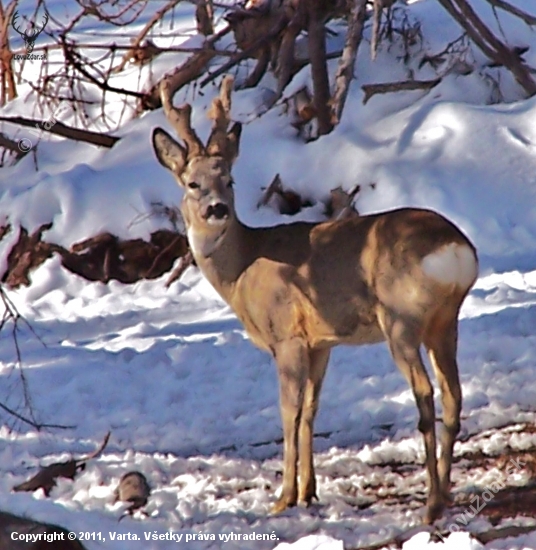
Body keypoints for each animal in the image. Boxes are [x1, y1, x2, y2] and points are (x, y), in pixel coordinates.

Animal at [151, 75, 478, 524]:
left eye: (229, 181)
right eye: (192, 183)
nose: (216, 209)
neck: (242, 269)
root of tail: (456, 248)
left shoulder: (286, 335)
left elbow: (287, 411)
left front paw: (283, 497)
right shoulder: (321, 342)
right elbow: (311, 409)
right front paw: (309, 492)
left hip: (400, 320)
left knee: (425, 393)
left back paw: (430, 504)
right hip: (445, 321)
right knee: (453, 392)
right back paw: (445, 492)